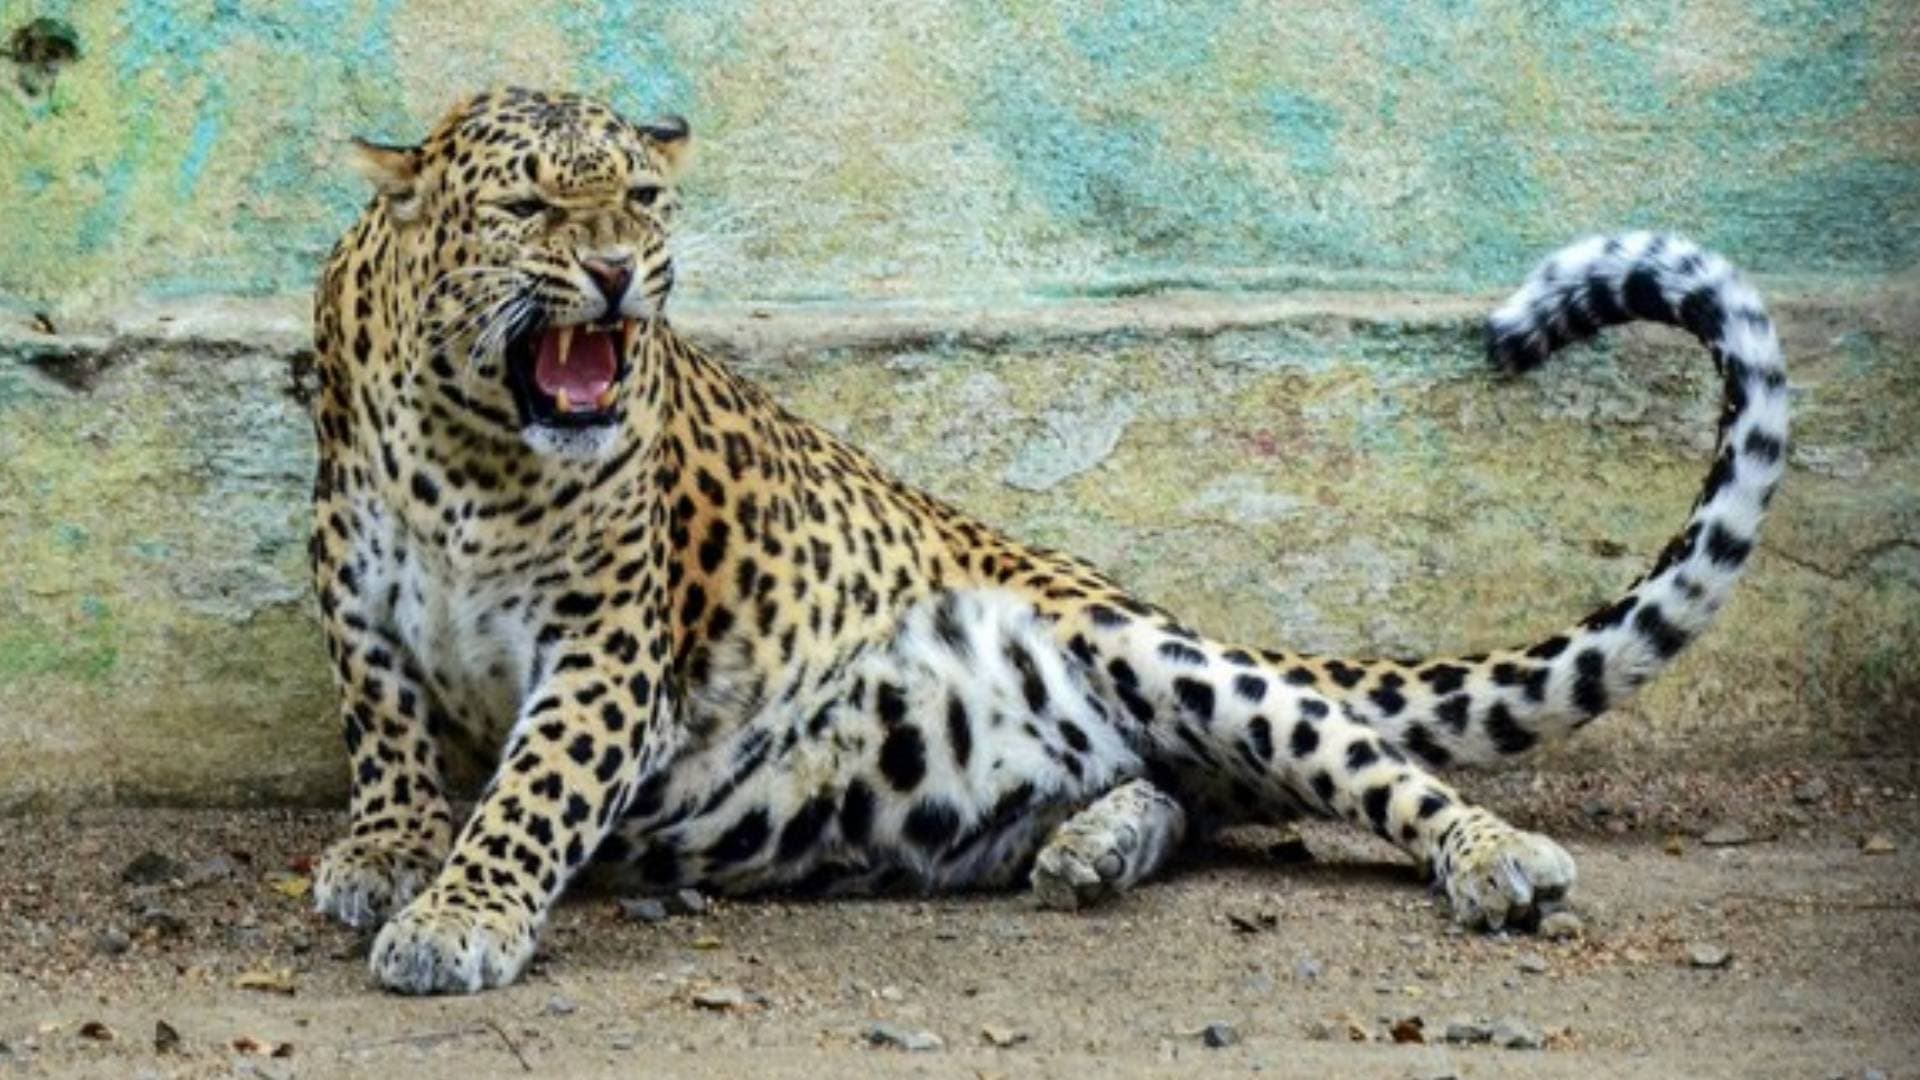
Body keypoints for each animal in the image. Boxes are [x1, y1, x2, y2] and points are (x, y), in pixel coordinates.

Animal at [306, 87, 1788, 994]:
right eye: (528, 212)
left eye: (641, 202)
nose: (617, 275)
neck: (472, 452)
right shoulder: (355, 590)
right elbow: (382, 727)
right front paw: (389, 853)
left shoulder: (608, 647)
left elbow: (536, 788)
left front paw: (458, 916)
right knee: (1174, 793)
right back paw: (1091, 849)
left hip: (1160, 657)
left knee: (1358, 761)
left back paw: (1496, 861)